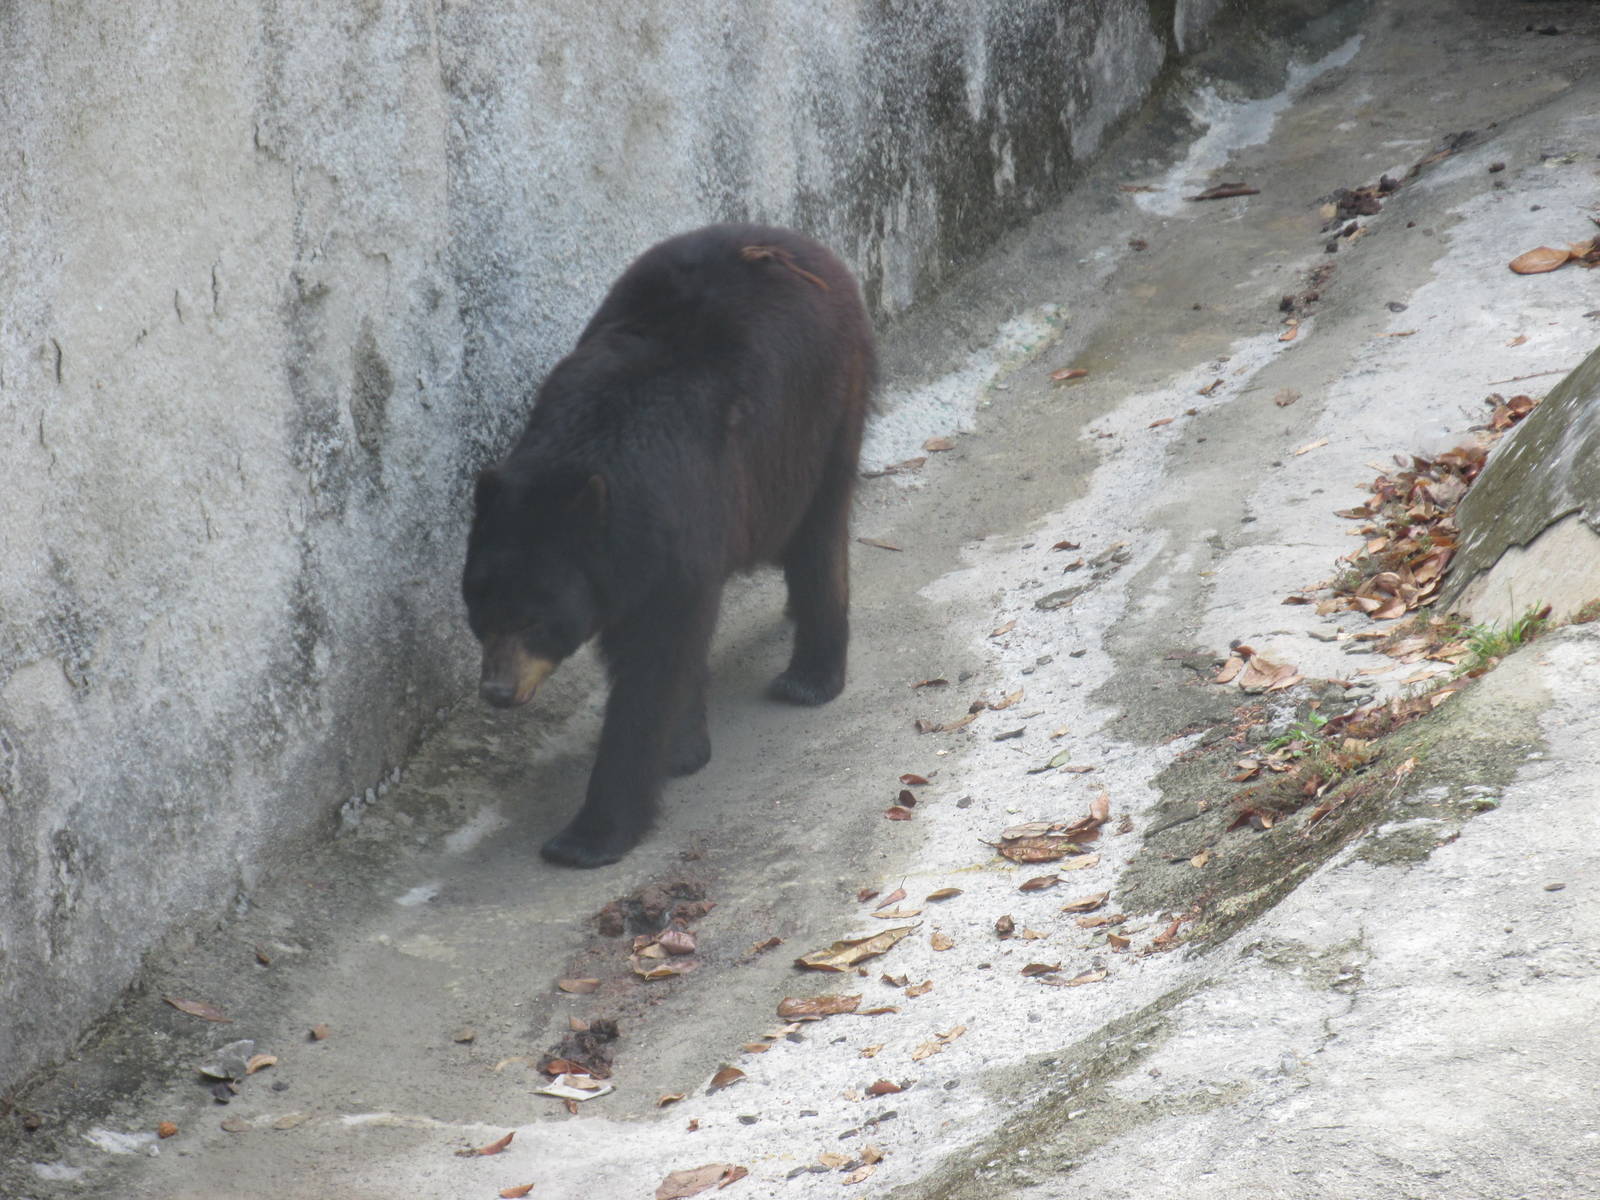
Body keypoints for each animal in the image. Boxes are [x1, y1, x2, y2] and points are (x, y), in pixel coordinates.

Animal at [462, 224, 876, 868]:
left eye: (533, 619)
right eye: (480, 615)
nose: (498, 691)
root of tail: (792, 241)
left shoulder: (677, 529)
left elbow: (653, 667)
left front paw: (587, 835)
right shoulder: (619, 567)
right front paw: (684, 747)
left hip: (817, 411)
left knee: (819, 532)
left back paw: (810, 676)